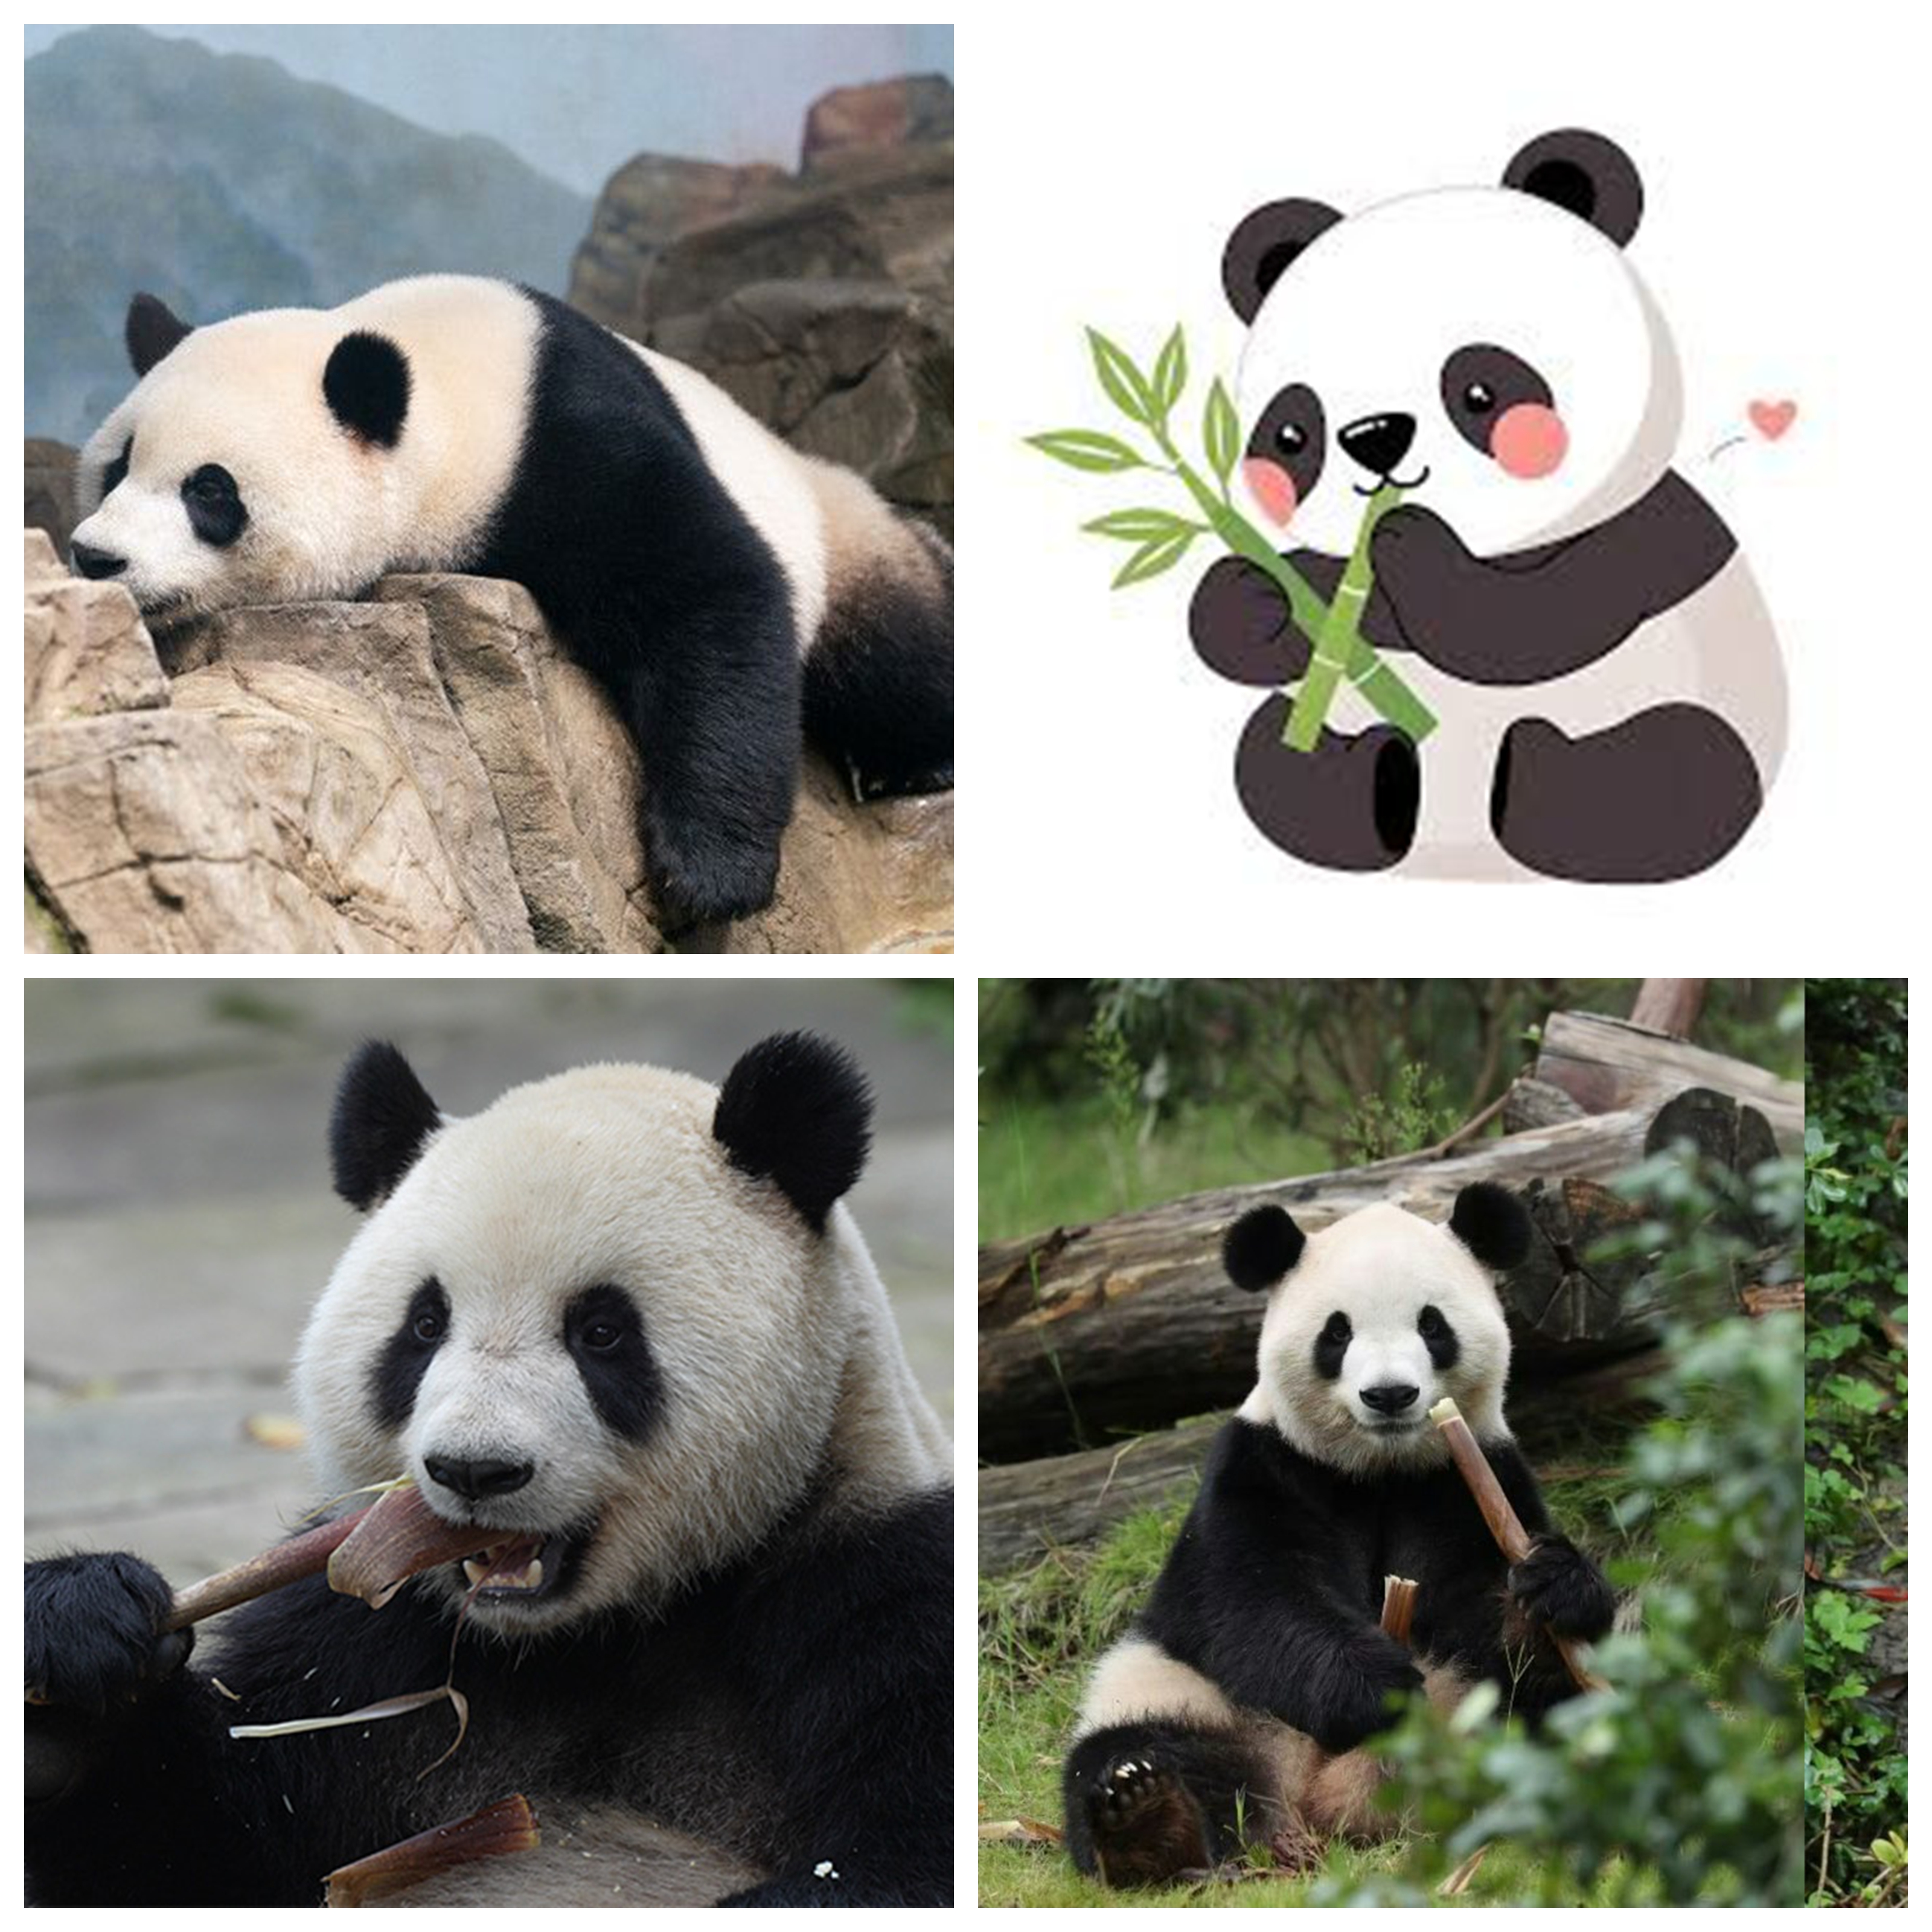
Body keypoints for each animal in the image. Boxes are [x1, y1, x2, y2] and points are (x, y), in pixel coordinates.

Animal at [25, 1033, 952, 1906]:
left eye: (602, 1332)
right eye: (425, 1324)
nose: (475, 1470)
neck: (586, 1637)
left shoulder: (871, 1585)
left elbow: (896, 1860)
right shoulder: (366, 1634)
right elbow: (200, 1846)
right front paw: (76, 1644)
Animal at [64, 275, 954, 930]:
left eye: (209, 491)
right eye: (116, 468)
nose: (96, 556)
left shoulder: (567, 442)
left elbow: (711, 594)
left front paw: (709, 874)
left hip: (843, 540)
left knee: (899, 654)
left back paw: (917, 763)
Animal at [1062, 1183, 1614, 1887]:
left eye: (1432, 1325)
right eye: (1337, 1331)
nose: (1390, 1394)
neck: (1379, 1470)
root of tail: (1321, 1803)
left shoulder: (1466, 1477)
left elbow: (1482, 1611)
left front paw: (1552, 1587)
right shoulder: (1262, 1467)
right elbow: (1252, 1600)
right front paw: (1374, 1687)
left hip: (1469, 1712)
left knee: (1549, 1714)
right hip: (1181, 1692)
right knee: (1138, 1749)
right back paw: (1148, 1819)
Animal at [1193, 128, 1786, 883]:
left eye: (1479, 391)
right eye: (1293, 433)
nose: (1374, 436)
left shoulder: (1649, 532)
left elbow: (1527, 624)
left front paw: (1407, 535)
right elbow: (1296, 616)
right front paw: (1251, 595)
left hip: (1701, 711)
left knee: (1677, 766)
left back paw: (1535, 774)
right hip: (1318, 717)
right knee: (1268, 754)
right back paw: (1371, 778)